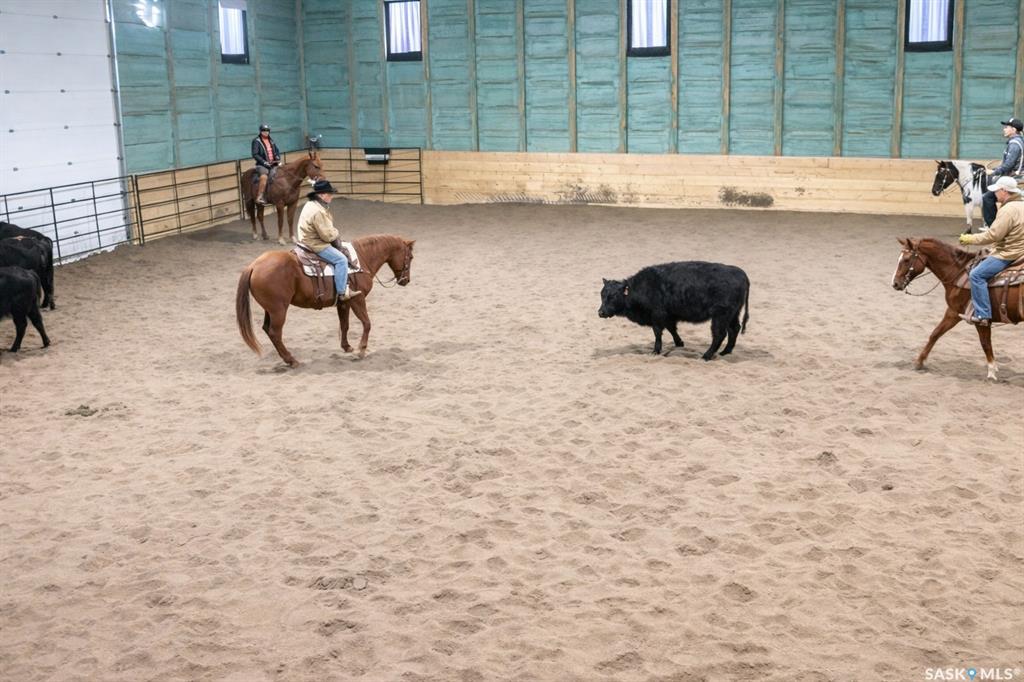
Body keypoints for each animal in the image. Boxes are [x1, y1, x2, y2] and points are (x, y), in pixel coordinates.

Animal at [598, 261, 750, 360]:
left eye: (613, 296)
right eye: (602, 294)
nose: (601, 312)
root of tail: (741, 274)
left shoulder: (657, 315)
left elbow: (658, 333)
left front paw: (656, 351)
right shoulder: (668, 315)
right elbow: (672, 329)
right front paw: (679, 343)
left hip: (721, 315)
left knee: (719, 335)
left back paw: (706, 356)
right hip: (732, 314)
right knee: (734, 329)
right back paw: (726, 352)